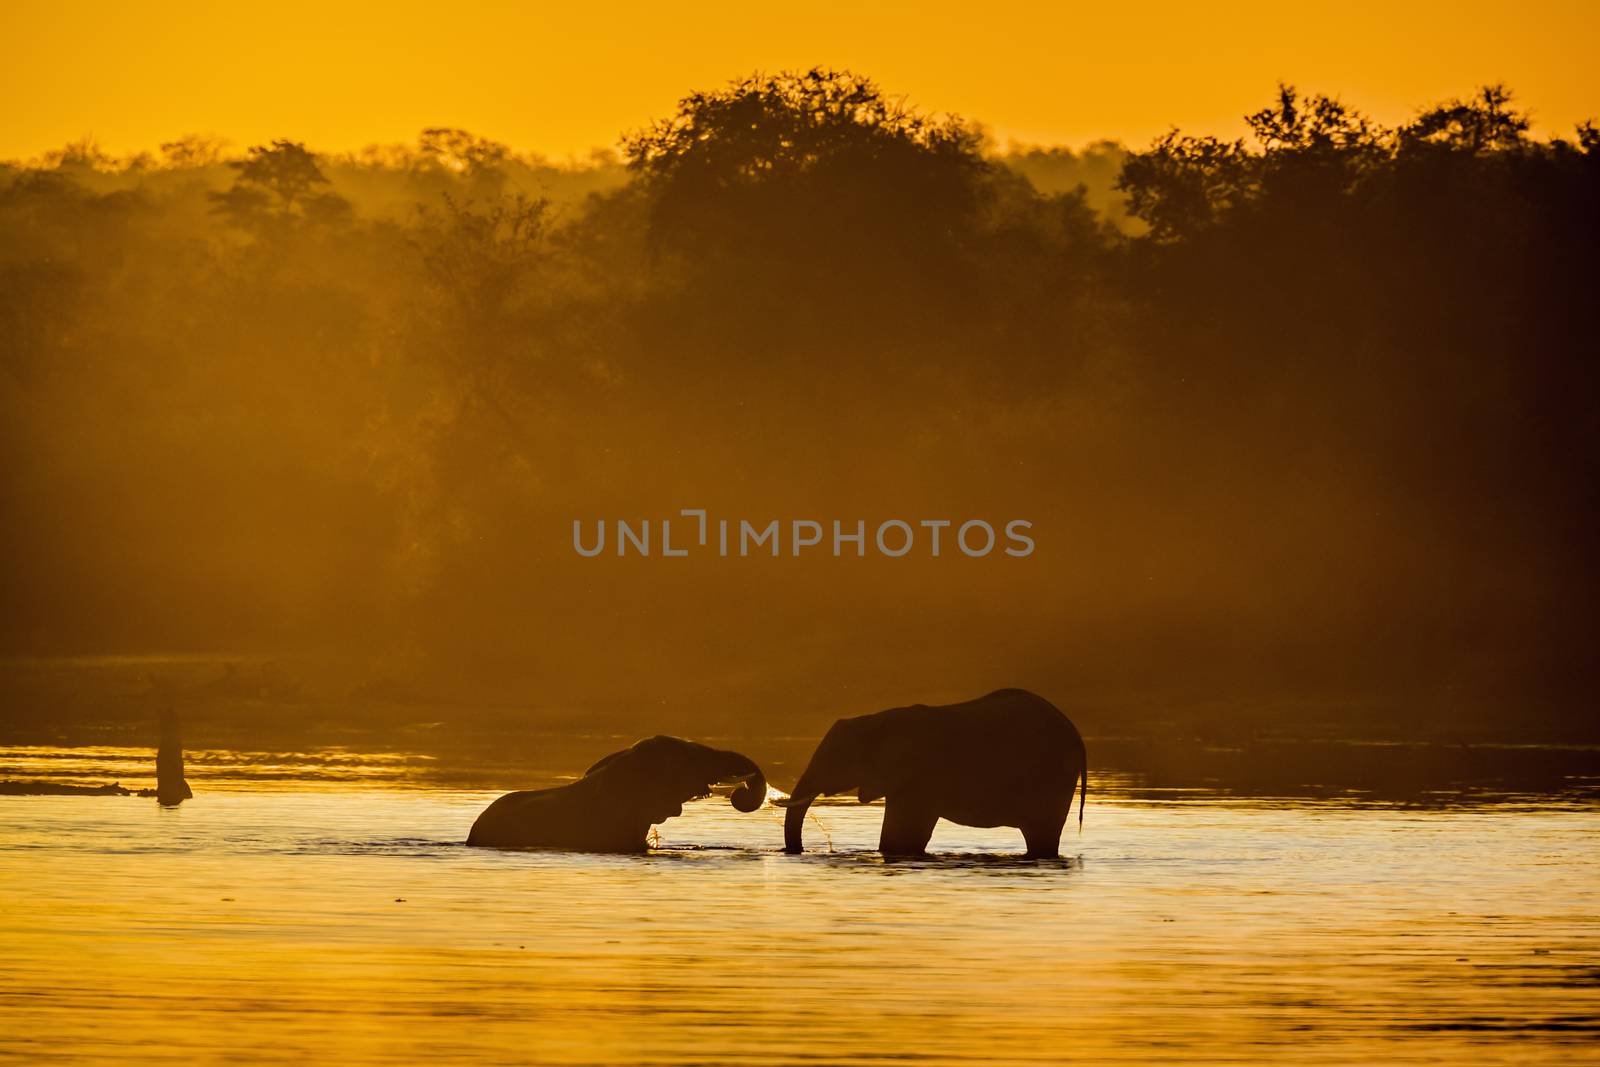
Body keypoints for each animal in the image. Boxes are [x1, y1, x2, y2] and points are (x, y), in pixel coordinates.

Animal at [777, 694, 1088, 857]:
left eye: (836, 758)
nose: (799, 852)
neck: (877, 720)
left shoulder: (917, 775)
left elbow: (902, 834)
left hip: (1053, 777)